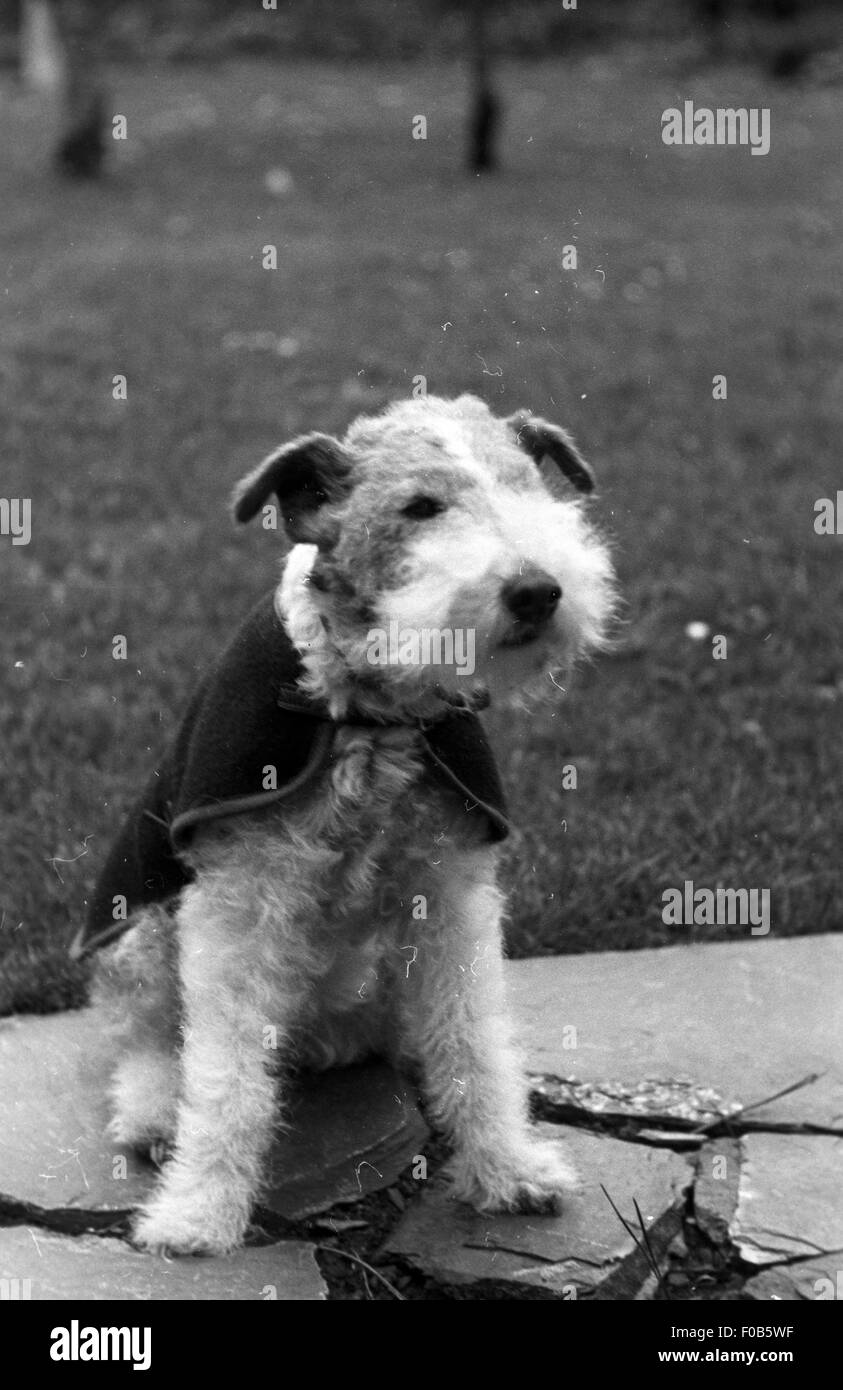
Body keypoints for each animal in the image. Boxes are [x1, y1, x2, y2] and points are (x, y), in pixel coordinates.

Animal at [77, 394, 614, 1262]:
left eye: (527, 486)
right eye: (419, 507)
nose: (538, 591)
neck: (370, 712)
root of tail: (319, 1035)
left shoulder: (448, 891)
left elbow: (473, 1037)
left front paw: (507, 1170)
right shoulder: (239, 903)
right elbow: (224, 1075)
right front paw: (198, 1213)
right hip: (144, 929)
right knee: (150, 1037)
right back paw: (155, 1116)